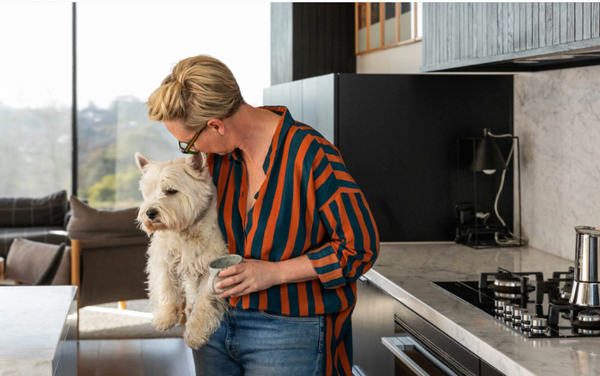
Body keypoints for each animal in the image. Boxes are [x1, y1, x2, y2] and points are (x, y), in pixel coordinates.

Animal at [136, 151, 230, 350]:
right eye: (149, 192)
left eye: (171, 191)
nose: (150, 213)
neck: (186, 229)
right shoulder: (162, 257)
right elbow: (165, 285)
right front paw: (165, 317)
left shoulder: (213, 268)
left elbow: (204, 301)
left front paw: (195, 334)